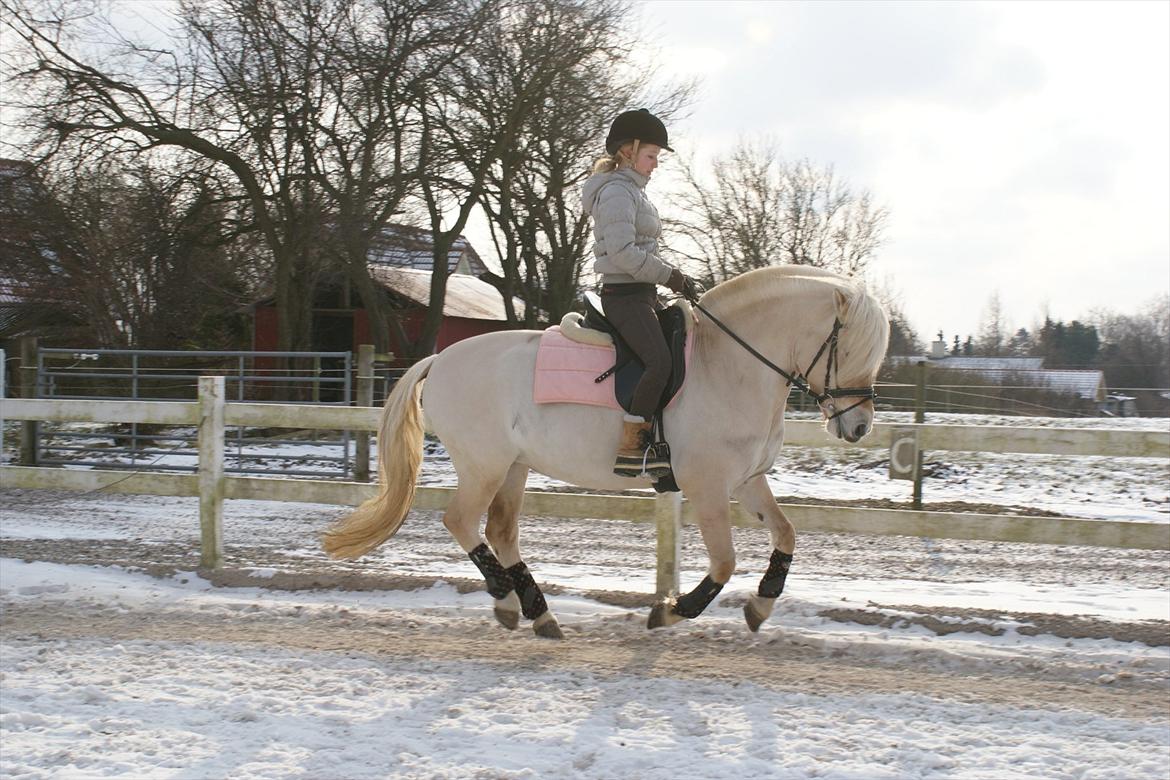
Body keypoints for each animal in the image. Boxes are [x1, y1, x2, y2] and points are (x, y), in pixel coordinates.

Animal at [320, 265, 884, 636]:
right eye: (850, 350)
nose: (858, 427)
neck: (728, 364)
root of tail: (439, 359)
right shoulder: (706, 485)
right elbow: (724, 563)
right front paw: (670, 611)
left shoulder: (747, 479)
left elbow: (786, 534)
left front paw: (760, 608)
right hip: (484, 464)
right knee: (460, 521)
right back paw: (507, 601)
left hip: (513, 467)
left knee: (500, 532)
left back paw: (536, 612)